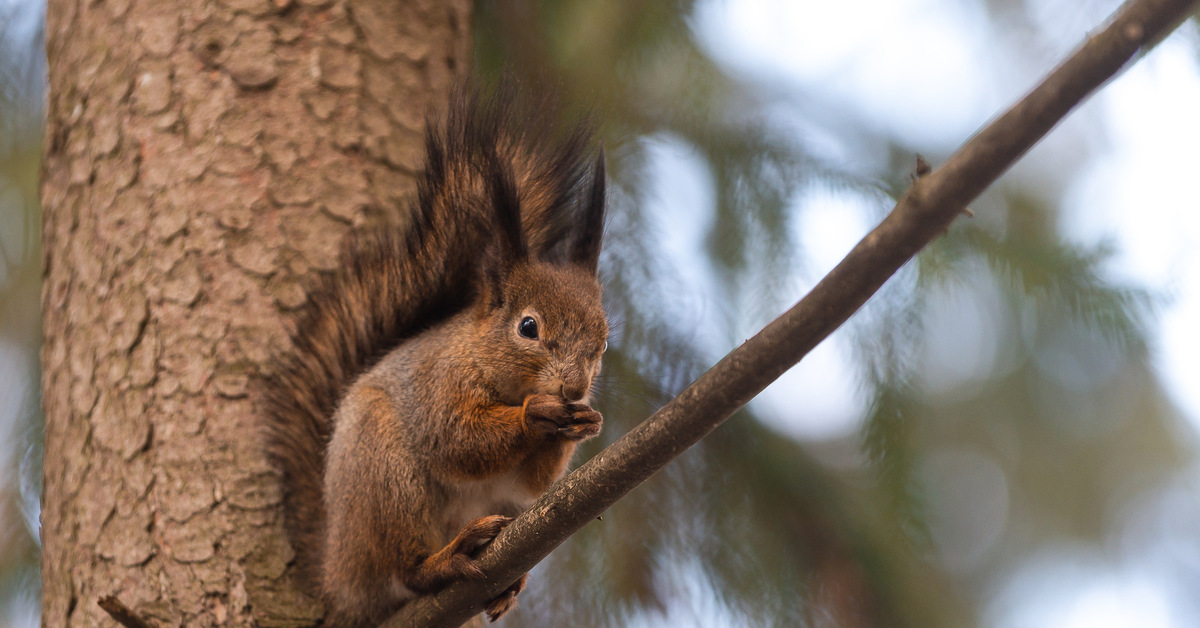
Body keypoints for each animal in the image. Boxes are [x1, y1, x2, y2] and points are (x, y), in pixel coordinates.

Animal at [258, 84, 604, 628]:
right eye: (528, 327)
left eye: (603, 342)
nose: (573, 388)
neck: (481, 354)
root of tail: (338, 578)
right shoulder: (438, 383)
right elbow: (455, 440)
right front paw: (537, 414)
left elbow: (534, 483)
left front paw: (583, 422)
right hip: (384, 475)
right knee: (407, 567)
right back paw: (446, 558)